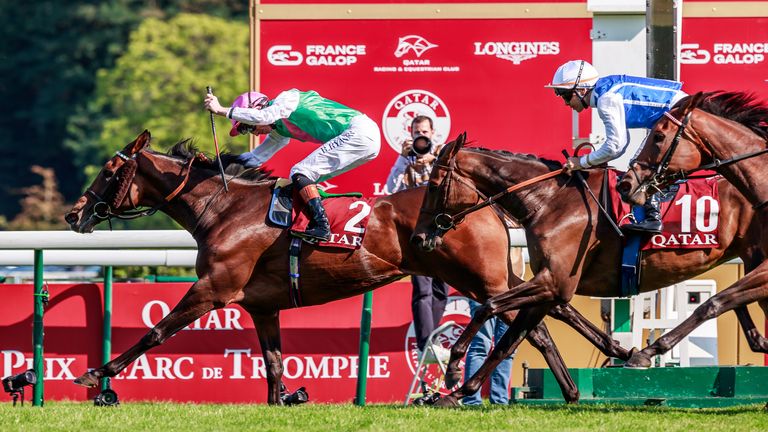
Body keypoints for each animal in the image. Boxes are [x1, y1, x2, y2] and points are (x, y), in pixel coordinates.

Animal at [64, 130, 636, 404]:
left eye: (110, 170)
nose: (73, 213)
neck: (225, 209)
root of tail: (481, 201)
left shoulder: (213, 287)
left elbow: (156, 331)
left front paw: (98, 375)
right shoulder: (261, 305)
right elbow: (273, 363)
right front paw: (285, 398)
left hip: (478, 275)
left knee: (532, 311)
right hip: (476, 276)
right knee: (542, 312)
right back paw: (588, 376)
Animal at [412, 137, 768, 406]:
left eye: (433, 185)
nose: (417, 237)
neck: (549, 200)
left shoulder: (554, 282)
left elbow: (490, 310)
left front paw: (454, 371)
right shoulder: (550, 284)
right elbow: (514, 338)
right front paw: (457, 392)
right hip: (753, 258)